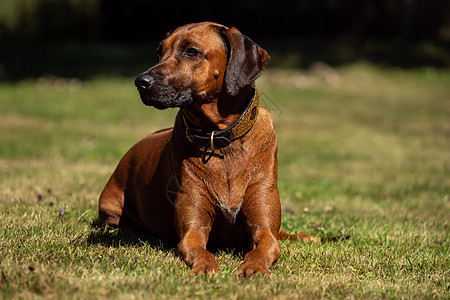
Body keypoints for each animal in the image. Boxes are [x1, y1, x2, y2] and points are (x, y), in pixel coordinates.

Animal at [98, 22, 318, 278]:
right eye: (159, 52)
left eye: (191, 51)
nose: (140, 81)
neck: (219, 138)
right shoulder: (192, 229)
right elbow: (197, 247)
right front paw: (205, 267)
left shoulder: (264, 226)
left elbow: (267, 245)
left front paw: (254, 267)